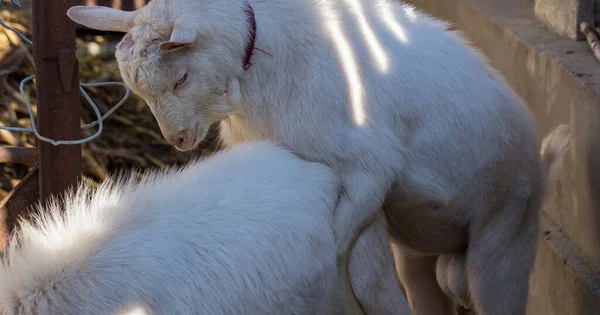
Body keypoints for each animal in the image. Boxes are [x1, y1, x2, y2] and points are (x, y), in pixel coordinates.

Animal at [68, 1, 564, 314]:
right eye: (138, 92)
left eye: (179, 79)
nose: (179, 142)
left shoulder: (369, 169)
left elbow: (340, 247)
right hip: (420, 253)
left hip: (504, 240)